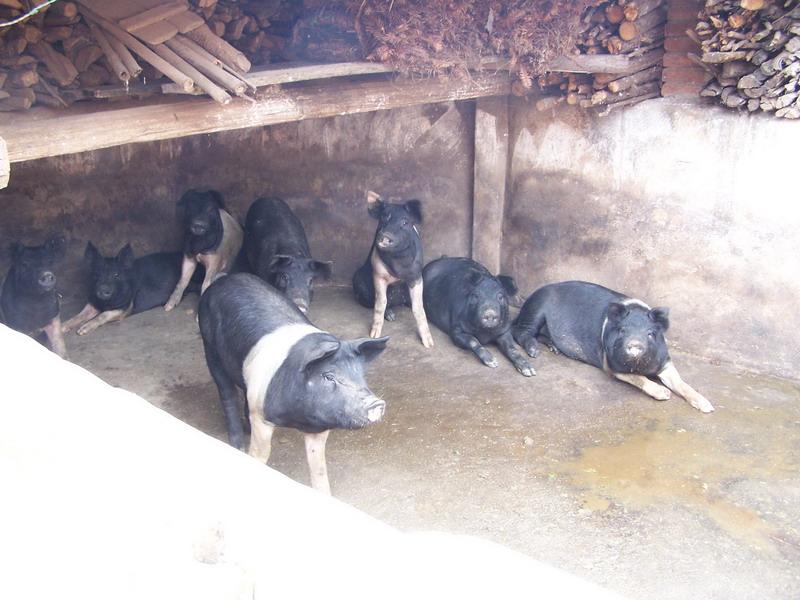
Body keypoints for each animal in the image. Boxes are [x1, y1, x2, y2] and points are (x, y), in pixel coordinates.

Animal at [63, 244, 203, 338]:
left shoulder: (125, 307)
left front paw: (82, 330)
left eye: (116, 274)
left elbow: (103, 315)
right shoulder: (92, 303)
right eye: (97, 274)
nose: (102, 291)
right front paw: (63, 327)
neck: (106, 302)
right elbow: (79, 315)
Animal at [198, 274, 390, 494]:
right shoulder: (261, 414)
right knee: (226, 393)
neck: (298, 418)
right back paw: (238, 444)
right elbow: (261, 454)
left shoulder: (319, 428)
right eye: (328, 376)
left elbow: (318, 468)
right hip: (210, 347)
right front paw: (249, 455)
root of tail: (223, 280)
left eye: (360, 375)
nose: (376, 403)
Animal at [354, 188, 434, 346]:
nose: (385, 236)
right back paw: (391, 315)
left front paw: (429, 344)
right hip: (358, 280)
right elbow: (381, 302)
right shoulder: (378, 274)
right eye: (384, 218)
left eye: (405, 222)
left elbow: (418, 307)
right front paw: (374, 336)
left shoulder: (416, 276)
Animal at [516, 280, 716, 412]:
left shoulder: (665, 362)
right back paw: (533, 352)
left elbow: (681, 383)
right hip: (536, 310)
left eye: (650, 333)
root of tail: (533, 293)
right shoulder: (612, 364)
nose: (634, 345)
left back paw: (555, 349)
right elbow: (640, 379)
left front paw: (708, 407)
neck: (641, 364)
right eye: (622, 330)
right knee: (520, 332)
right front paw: (664, 394)